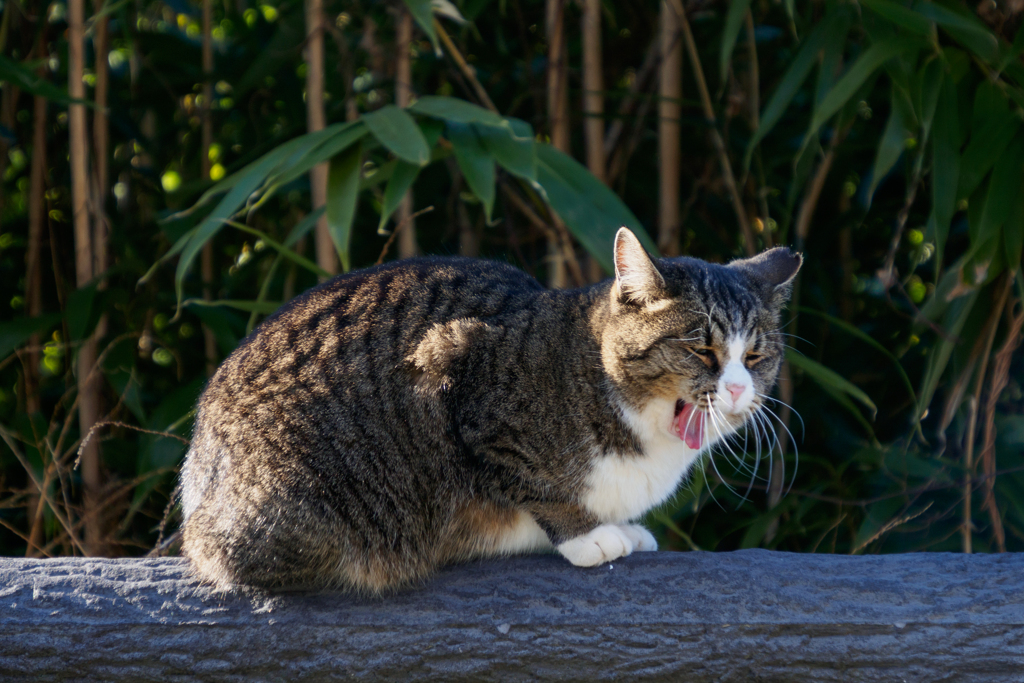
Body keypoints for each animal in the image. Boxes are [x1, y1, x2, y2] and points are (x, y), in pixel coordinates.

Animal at [180, 227, 798, 589]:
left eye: (756, 356)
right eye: (702, 350)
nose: (738, 389)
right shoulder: (455, 370)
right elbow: (528, 480)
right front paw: (589, 535)